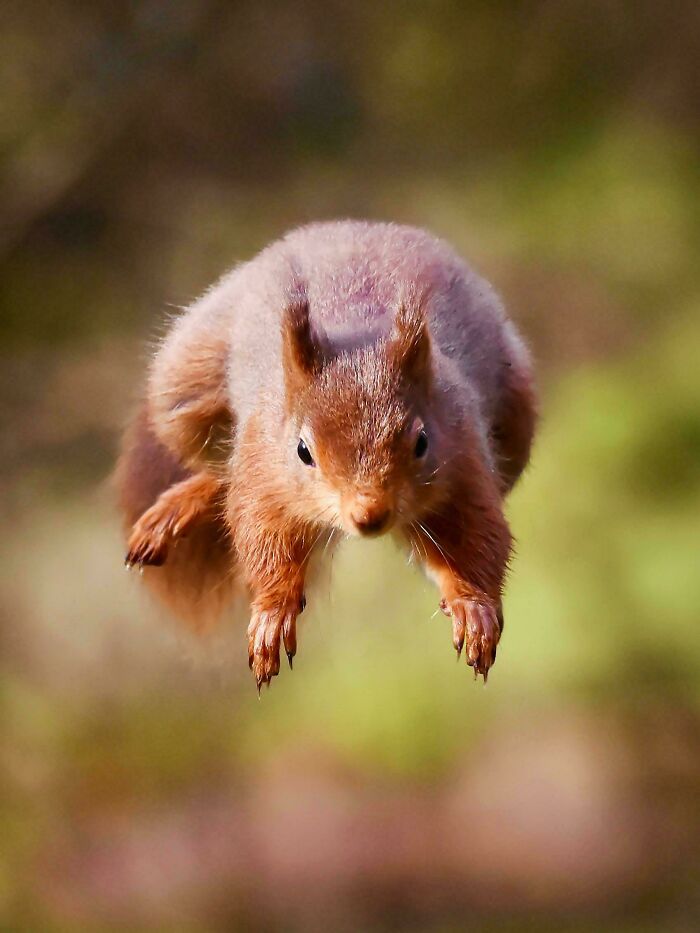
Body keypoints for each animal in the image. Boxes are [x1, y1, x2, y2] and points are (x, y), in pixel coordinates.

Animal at [116, 220, 537, 689]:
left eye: (422, 442)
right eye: (303, 451)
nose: (369, 515)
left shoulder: (464, 463)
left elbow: (478, 542)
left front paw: (473, 608)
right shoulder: (263, 464)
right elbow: (262, 536)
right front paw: (273, 611)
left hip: (516, 413)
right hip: (184, 387)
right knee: (218, 469)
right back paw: (174, 509)